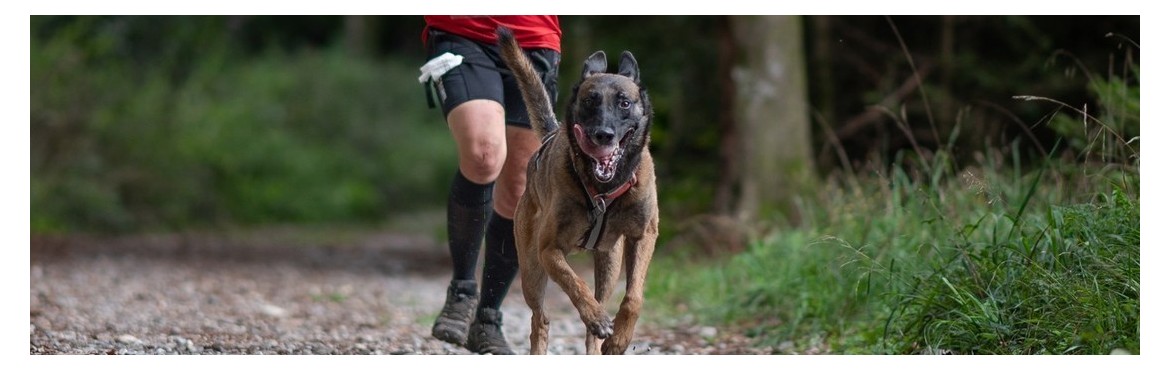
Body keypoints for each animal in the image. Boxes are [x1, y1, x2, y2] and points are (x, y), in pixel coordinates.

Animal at [496, 26, 659, 355]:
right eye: (590, 101)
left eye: (624, 103)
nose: (603, 135)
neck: (604, 190)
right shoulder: (549, 250)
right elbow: (576, 284)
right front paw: (596, 317)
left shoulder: (644, 235)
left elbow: (634, 297)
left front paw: (619, 338)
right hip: (531, 270)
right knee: (540, 319)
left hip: (609, 264)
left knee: (596, 311)